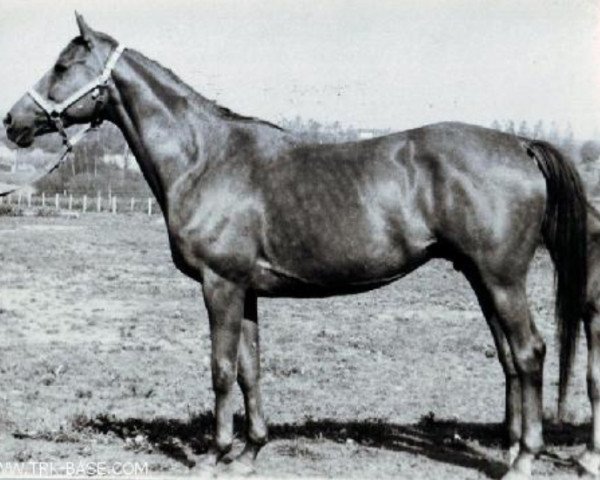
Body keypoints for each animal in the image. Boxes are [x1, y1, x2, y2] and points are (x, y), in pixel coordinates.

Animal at [4, 13, 600, 478]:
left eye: (63, 66)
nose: (13, 122)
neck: (205, 158)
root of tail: (521, 146)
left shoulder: (220, 286)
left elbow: (221, 369)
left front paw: (215, 455)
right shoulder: (245, 291)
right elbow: (250, 368)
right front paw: (249, 452)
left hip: (501, 277)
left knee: (530, 351)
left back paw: (525, 460)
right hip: (481, 276)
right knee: (511, 358)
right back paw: (511, 449)